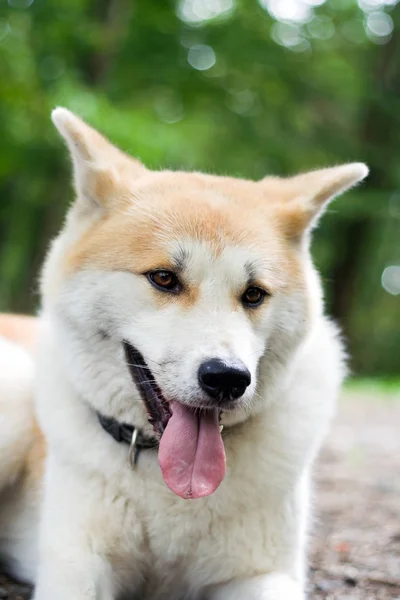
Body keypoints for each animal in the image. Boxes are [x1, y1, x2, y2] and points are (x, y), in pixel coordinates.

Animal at [0, 109, 368, 600]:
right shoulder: (76, 566)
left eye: (254, 294)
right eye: (163, 278)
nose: (227, 378)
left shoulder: (263, 573)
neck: (164, 477)